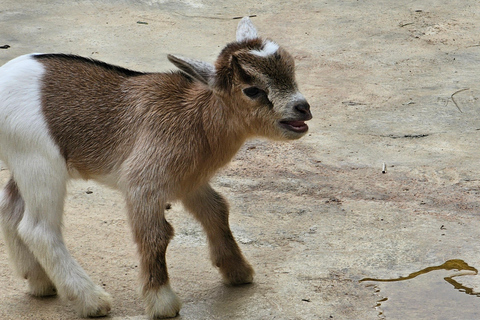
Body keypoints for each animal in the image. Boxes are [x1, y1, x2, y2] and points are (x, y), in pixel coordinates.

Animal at [0, 16, 312, 318]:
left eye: (291, 70)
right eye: (252, 90)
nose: (303, 108)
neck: (196, 118)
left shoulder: (190, 180)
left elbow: (217, 210)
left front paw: (237, 271)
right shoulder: (142, 182)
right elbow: (157, 234)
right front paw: (162, 303)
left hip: (24, 161)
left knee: (10, 207)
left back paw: (39, 281)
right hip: (40, 161)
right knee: (38, 229)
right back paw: (92, 301)